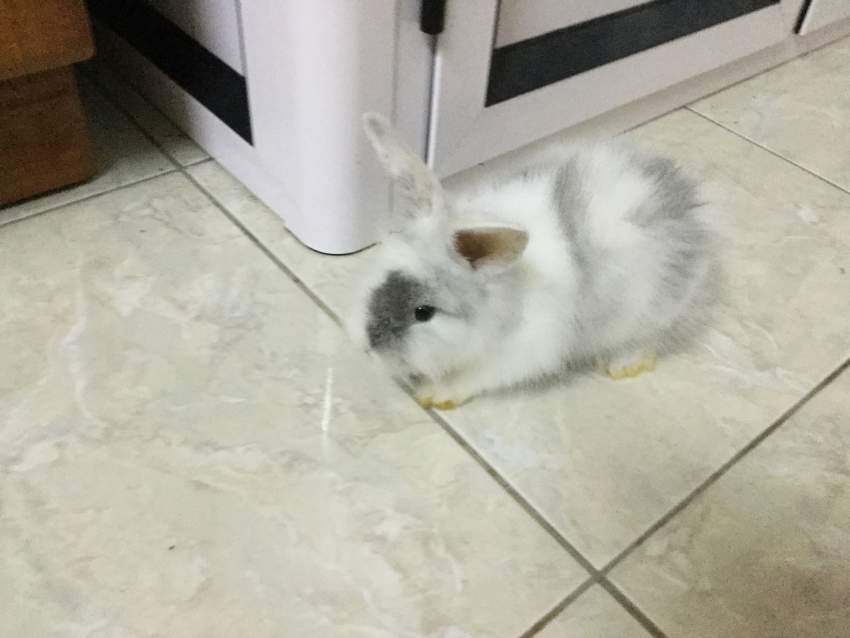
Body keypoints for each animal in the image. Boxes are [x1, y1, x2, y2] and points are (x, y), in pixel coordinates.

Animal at [351, 113, 712, 410]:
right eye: (379, 273)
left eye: (423, 312)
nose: (367, 347)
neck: (507, 292)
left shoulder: (523, 350)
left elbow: (477, 376)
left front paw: (435, 394)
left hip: (651, 310)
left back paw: (622, 365)